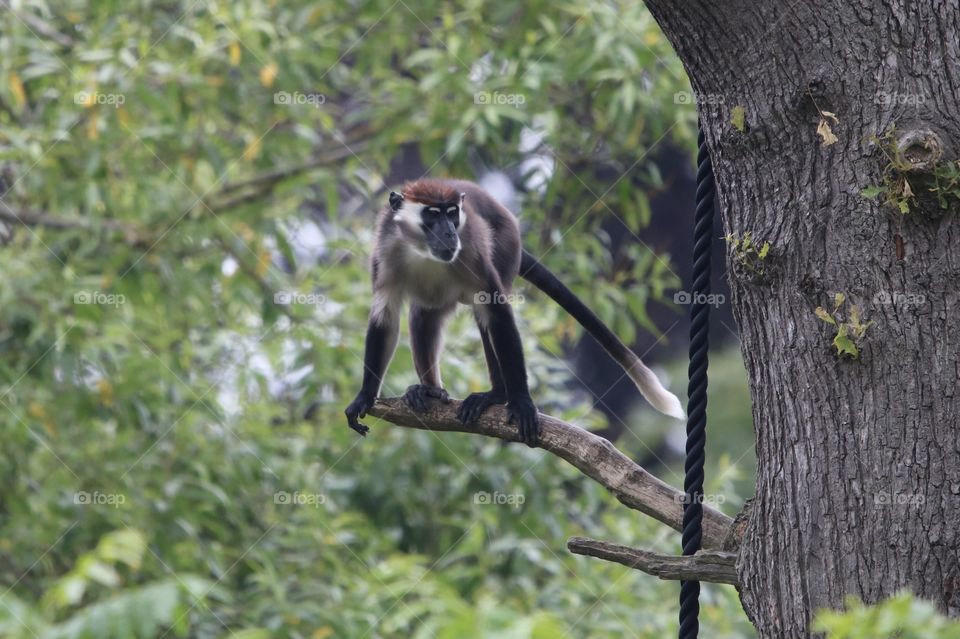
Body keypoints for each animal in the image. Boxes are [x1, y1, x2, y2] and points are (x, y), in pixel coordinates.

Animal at [344, 178, 684, 447]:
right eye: (432, 214)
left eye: (452, 214)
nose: (450, 234)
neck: (421, 250)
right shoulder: (385, 251)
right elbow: (385, 318)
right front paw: (365, 395)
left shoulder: (471, 251)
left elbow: (498, 314)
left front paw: (521, 402)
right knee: (423, 315)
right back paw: (430, 391)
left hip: (505, 244)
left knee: (485, 318)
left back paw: (496, 394)